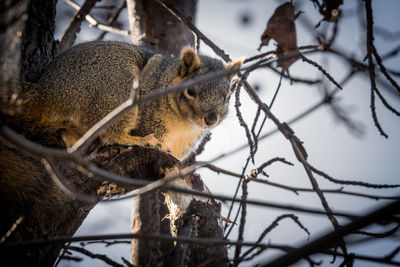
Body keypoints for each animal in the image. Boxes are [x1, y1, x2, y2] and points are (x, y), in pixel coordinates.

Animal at [8, 40, 241, 160]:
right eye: (190, 91)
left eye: (227, 96)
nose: (211, 119)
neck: (184, 125)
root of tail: (45, 92)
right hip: (117, 89)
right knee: (109, 132)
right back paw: (141, 141)